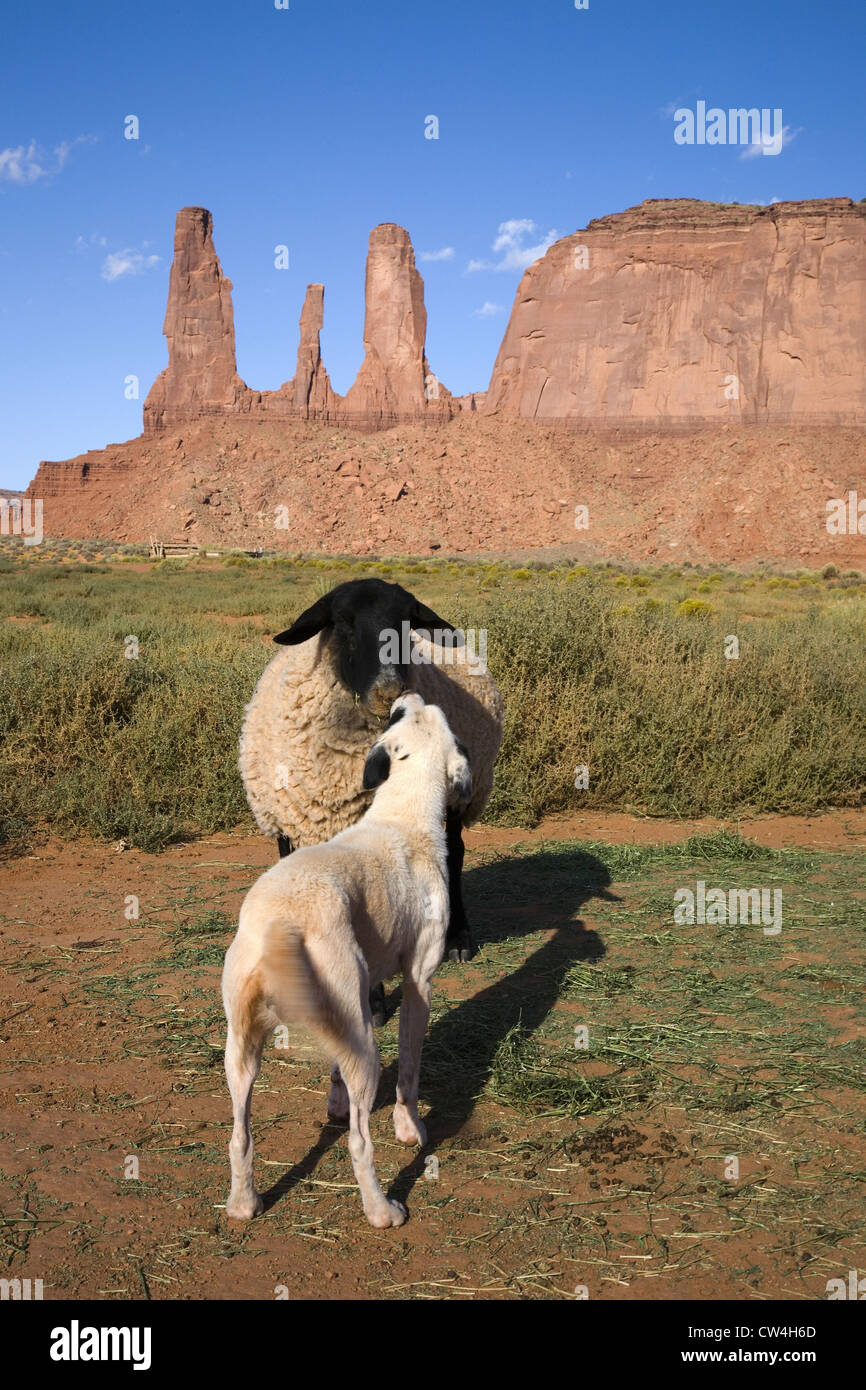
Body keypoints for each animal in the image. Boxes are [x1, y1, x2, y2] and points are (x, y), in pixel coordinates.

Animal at [219, 692, 469, 1228]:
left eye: (403, 715)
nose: (407, 694)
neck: (402, 814)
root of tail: (282, 922)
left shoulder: (349, 1005)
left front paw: (333, 1103)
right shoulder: (418, 981)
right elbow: (410, 1072)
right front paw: (410, 1128)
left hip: (242, 1050)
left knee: (239, 1138)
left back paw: (244, 1203)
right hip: (365, 1048)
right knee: (358, 1143)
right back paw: (381, 1209)